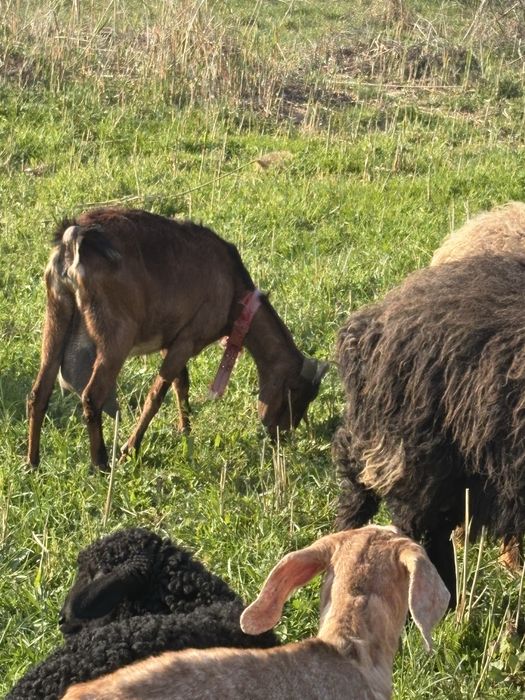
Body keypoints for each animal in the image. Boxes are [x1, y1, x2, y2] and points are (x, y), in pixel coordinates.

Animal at [27, 207, 328, 470]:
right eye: (295, 392)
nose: (281, 435)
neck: (233, 293)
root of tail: (74, 236)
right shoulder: (188, 339)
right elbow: (157, 394)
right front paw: (130, 449)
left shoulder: (171, 338)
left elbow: (180, 383)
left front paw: (185, 430)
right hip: (116, 335)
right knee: (91, 396)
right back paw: (101, 463)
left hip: (57, 313)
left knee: (39, 391)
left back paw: (32, 463)